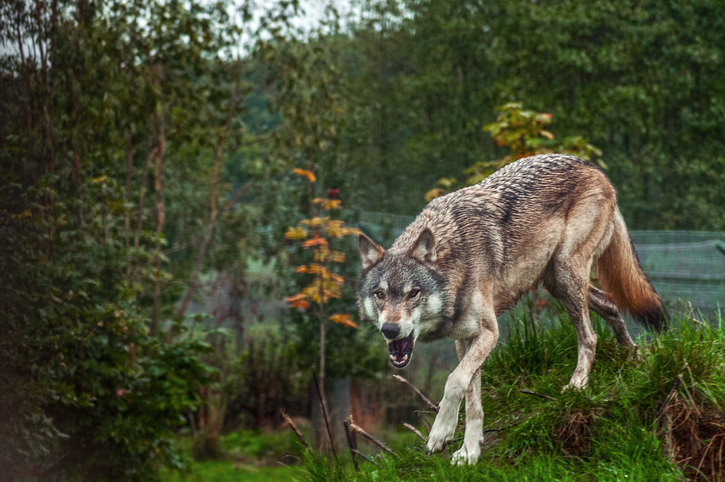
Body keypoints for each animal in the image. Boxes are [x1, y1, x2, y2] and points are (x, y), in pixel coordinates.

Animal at [357, 154, 665, 465]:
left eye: (413, 293)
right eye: (380, 294)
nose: (390, 329)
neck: (457, 261)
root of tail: (591, 166)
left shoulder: (488, 333)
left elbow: (454, 381)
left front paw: (440, 433)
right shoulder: (466, 339)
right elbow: (472, 398)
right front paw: (469, 451)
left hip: (565, 272)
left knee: (590, 337)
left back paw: (578, 384)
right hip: (557, 282)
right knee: (612, 305)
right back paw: (632, 356)